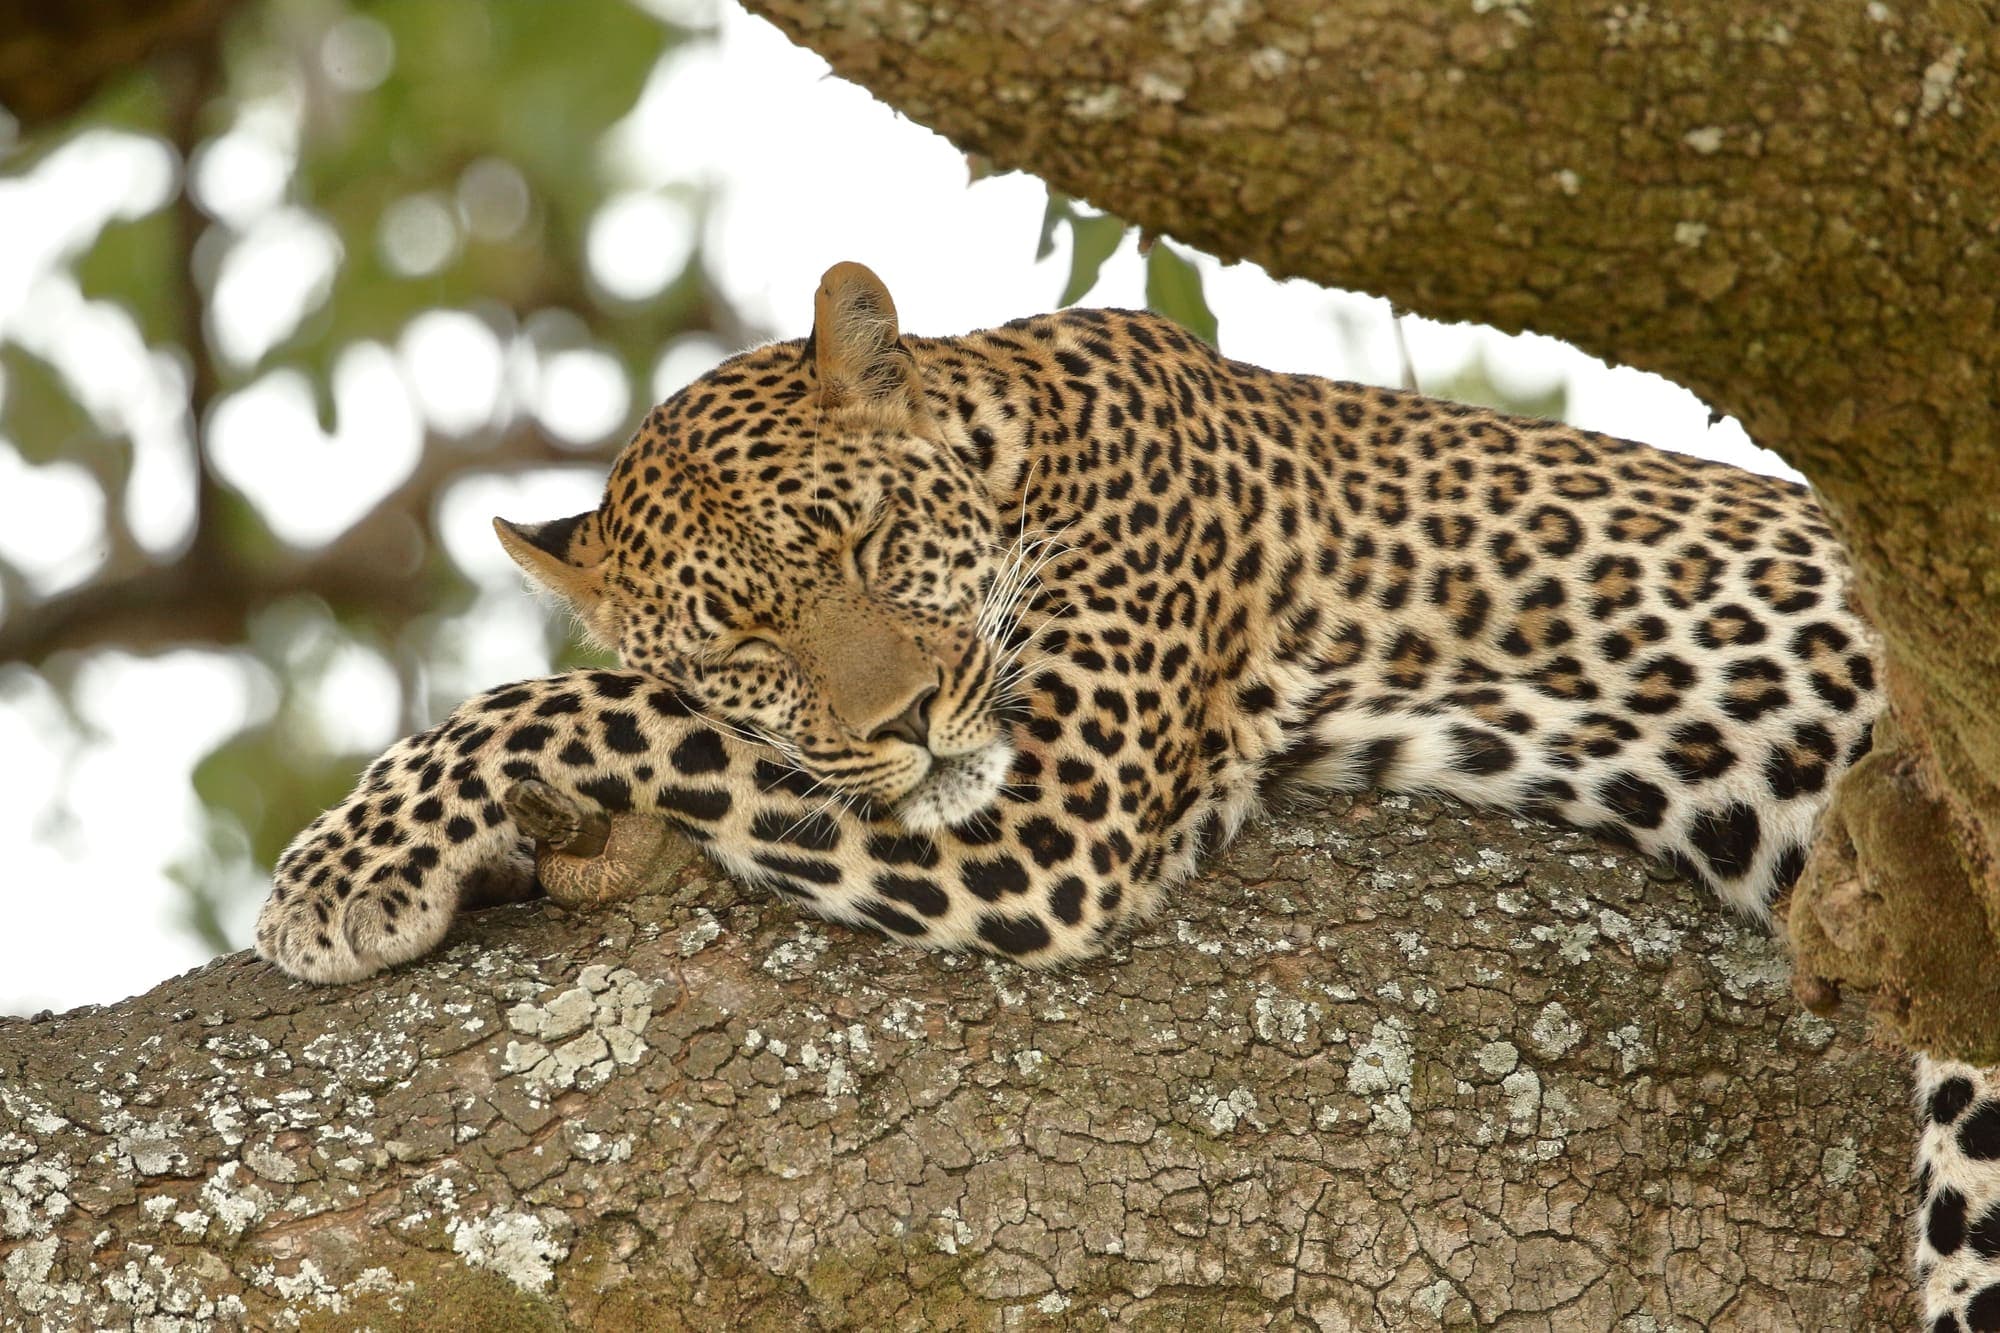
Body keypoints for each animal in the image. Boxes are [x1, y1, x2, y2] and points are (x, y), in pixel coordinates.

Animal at [255, 262, 2000, 1329]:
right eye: (744, 638)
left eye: (867, 543)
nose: (902, 719)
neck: (1018, 435)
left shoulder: (1046, 819)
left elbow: (583, 699)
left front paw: (336, 869)